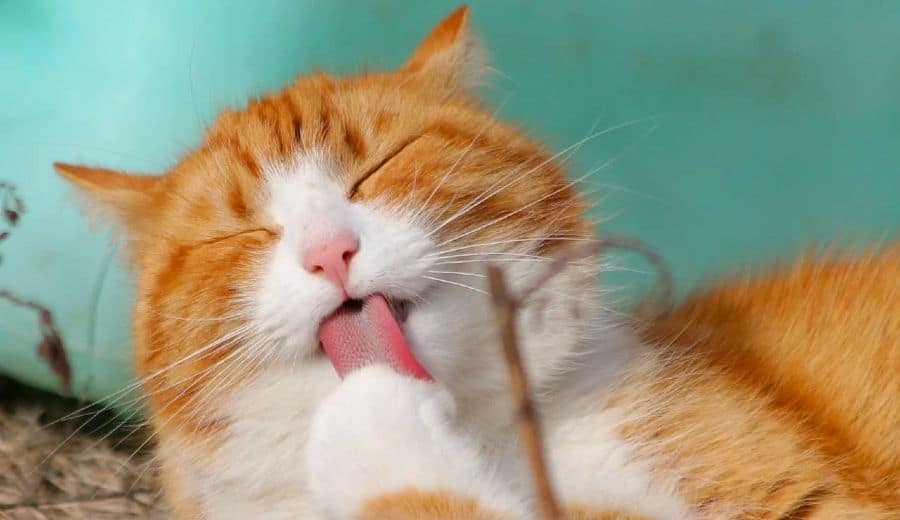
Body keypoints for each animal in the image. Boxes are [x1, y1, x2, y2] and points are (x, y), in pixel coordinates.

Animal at [56, 6, 900, 516]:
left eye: (381, 165)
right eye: (238, 233)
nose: (330, 251)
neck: (478, 433)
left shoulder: (810, 498)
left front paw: (373, 422)